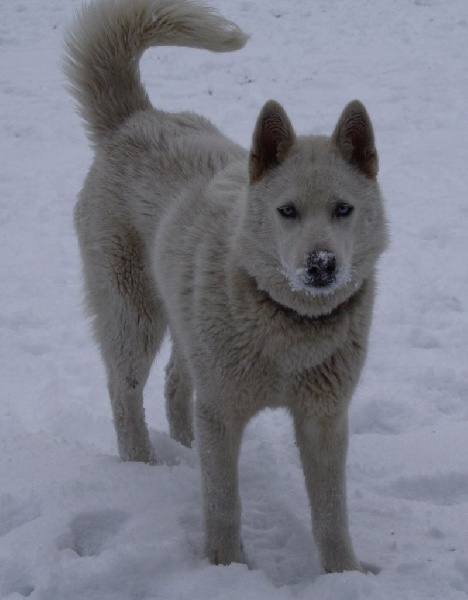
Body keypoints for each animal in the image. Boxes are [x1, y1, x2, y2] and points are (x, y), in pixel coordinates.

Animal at [65, 0, 388, 576]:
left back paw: (184, 446)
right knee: (124, 394)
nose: (322, 265)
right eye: (287, 211)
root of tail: (133, 118)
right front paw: (227, 568)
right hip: (134, 319)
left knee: (175, 383)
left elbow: (331, 512)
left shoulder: (324, 419)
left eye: (343, 209)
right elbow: (223, 504)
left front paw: (346, 574)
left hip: (188, 326)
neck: (290, 326)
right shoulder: (224, 412)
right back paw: (141, 465)